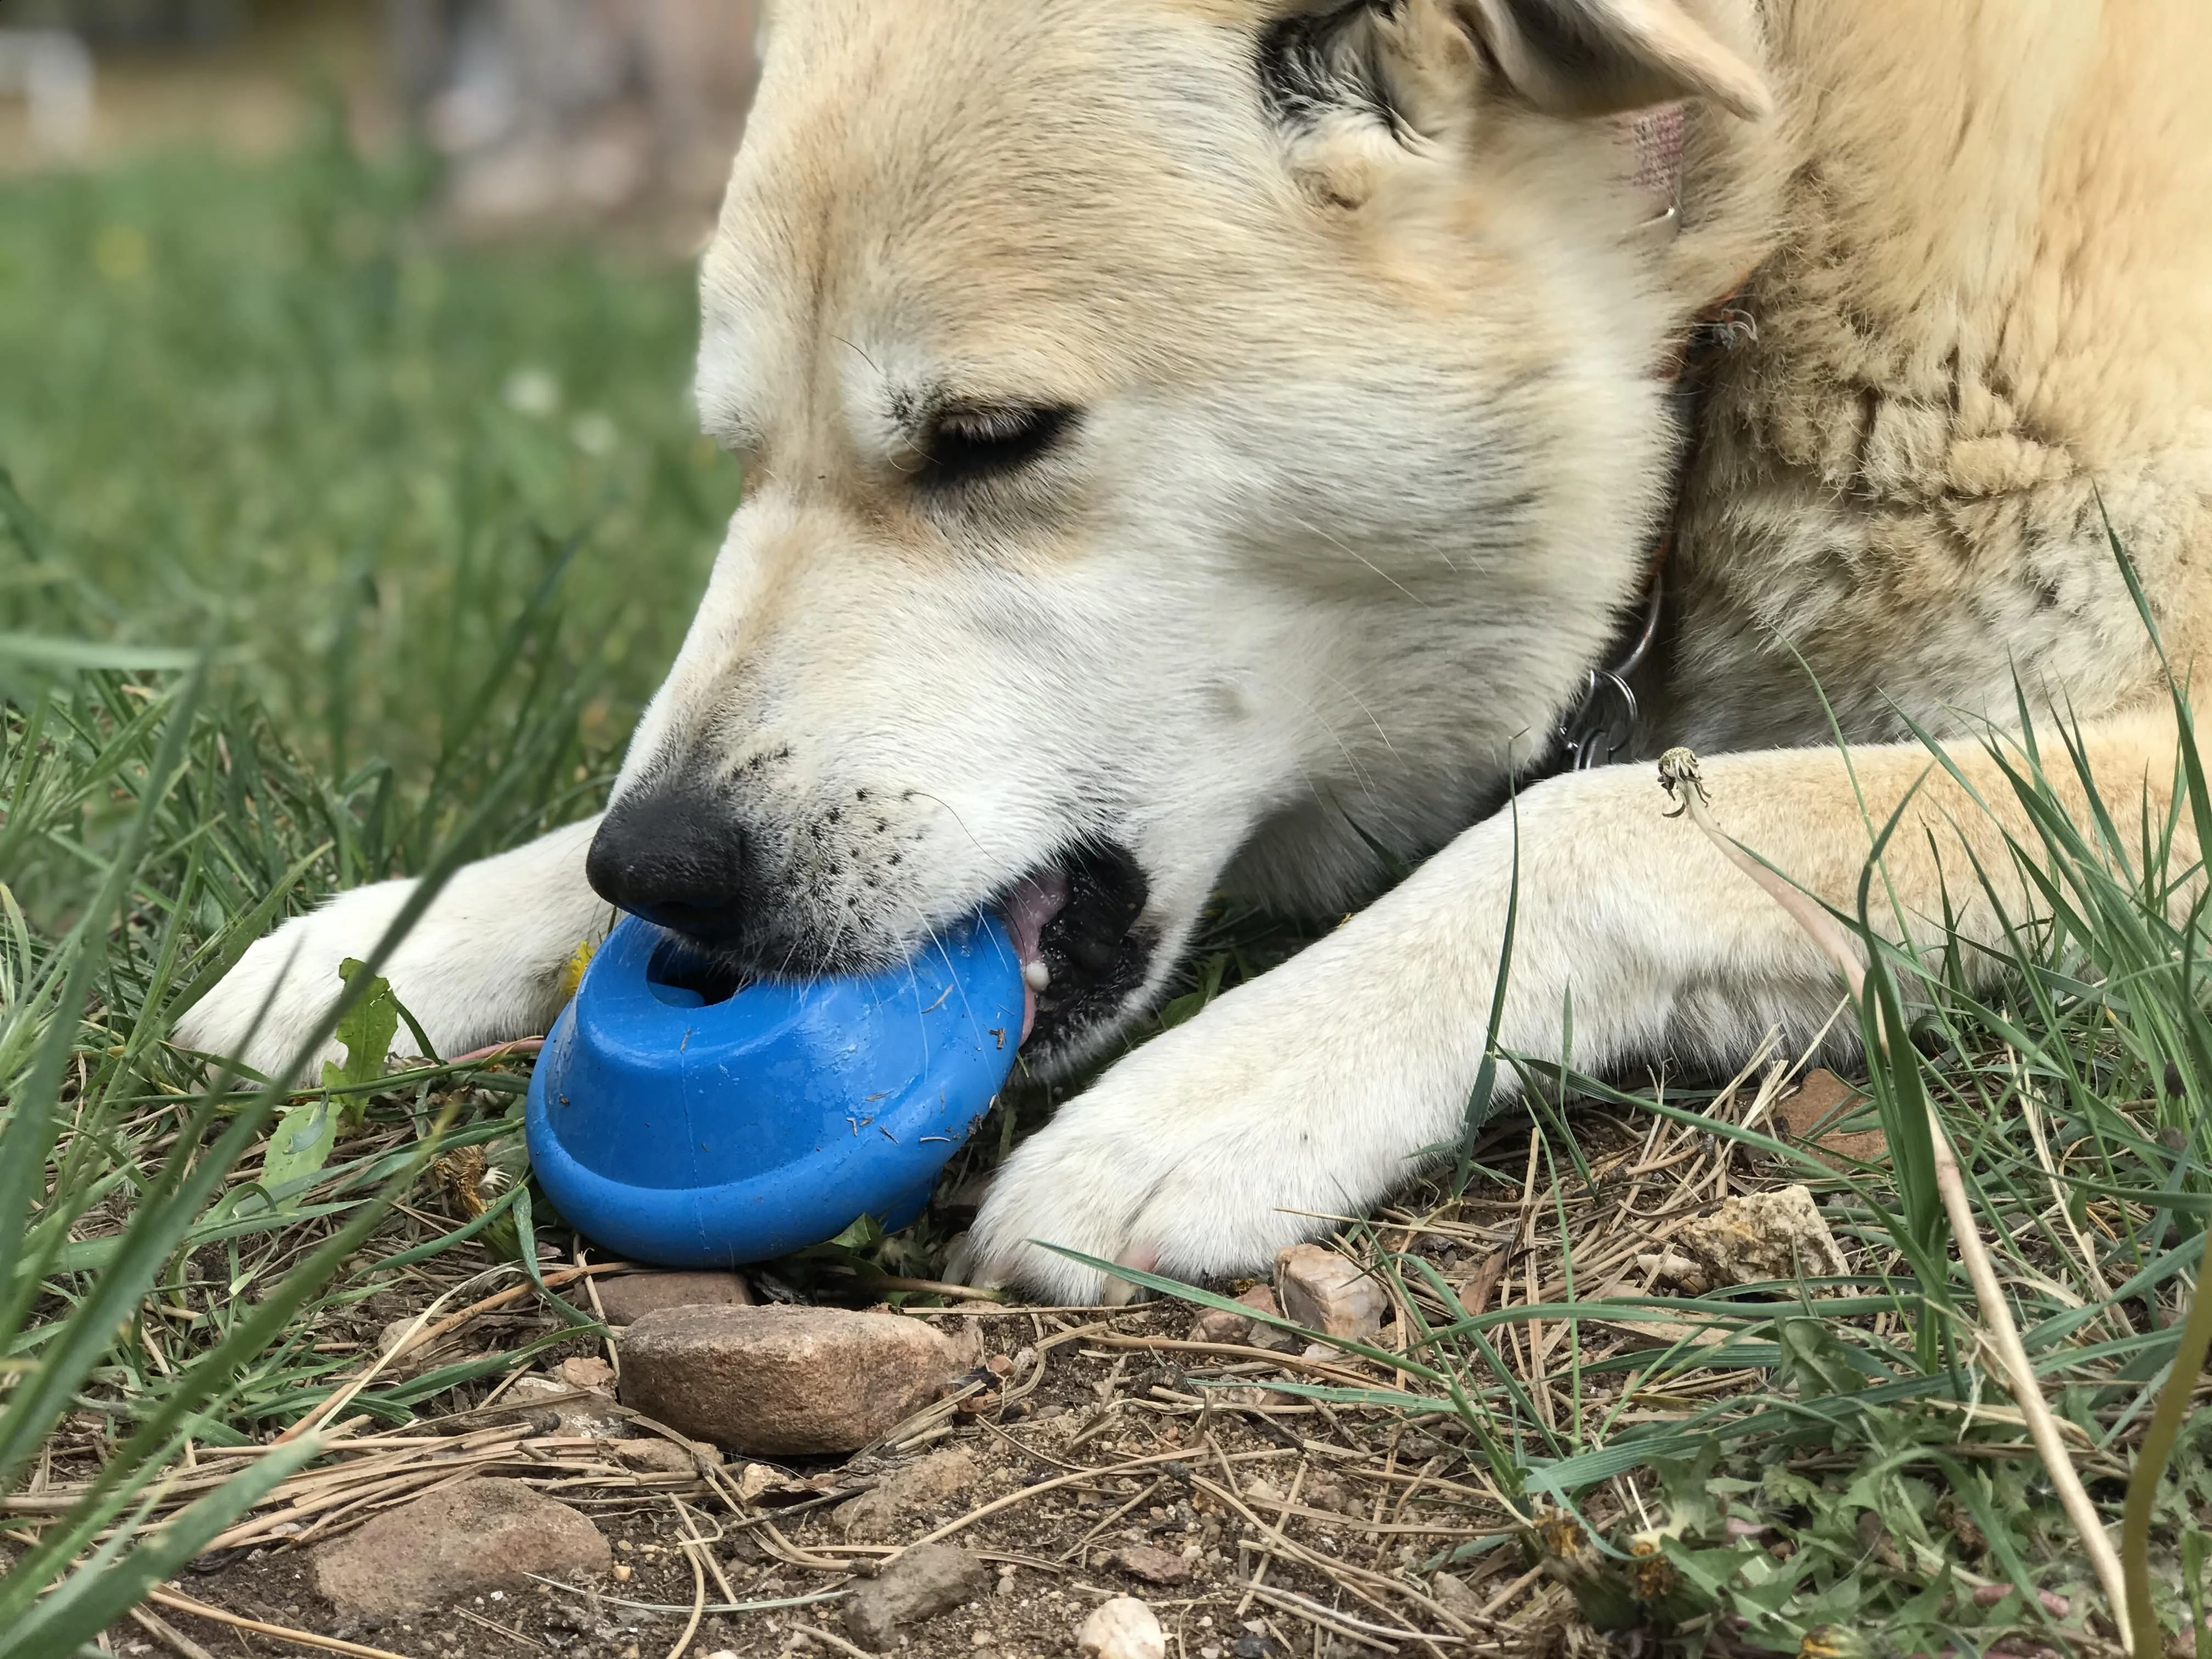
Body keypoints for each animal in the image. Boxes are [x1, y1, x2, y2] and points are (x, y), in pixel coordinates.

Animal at [181, 0, 2212, 1309]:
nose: (661, 877)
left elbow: (1600, 822)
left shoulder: (2148, 777)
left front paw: (1212, 1101)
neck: (1737, 285)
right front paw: (399, 939)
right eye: (738, 456)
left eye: (990, 439)